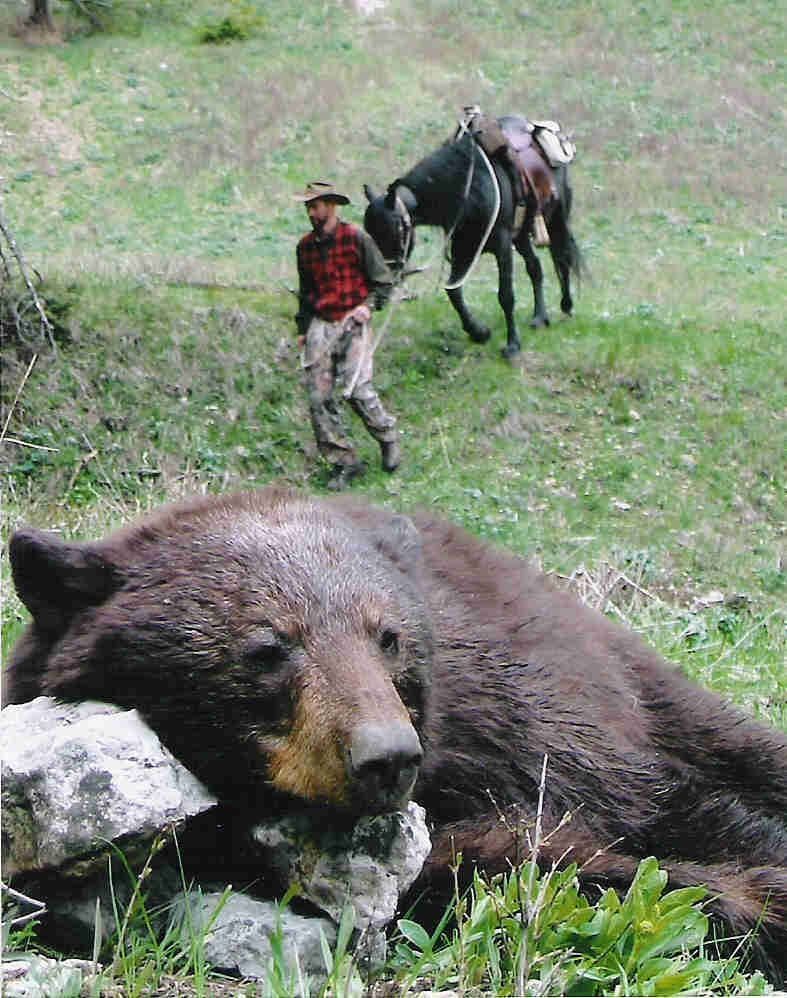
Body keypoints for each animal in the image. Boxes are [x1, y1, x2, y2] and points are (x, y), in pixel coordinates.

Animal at [4, 487, 787, 983]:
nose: (387, 757)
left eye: (388, 637)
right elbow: (531, 862)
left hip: (625, 673)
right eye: (268, 647)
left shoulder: (522, 711)